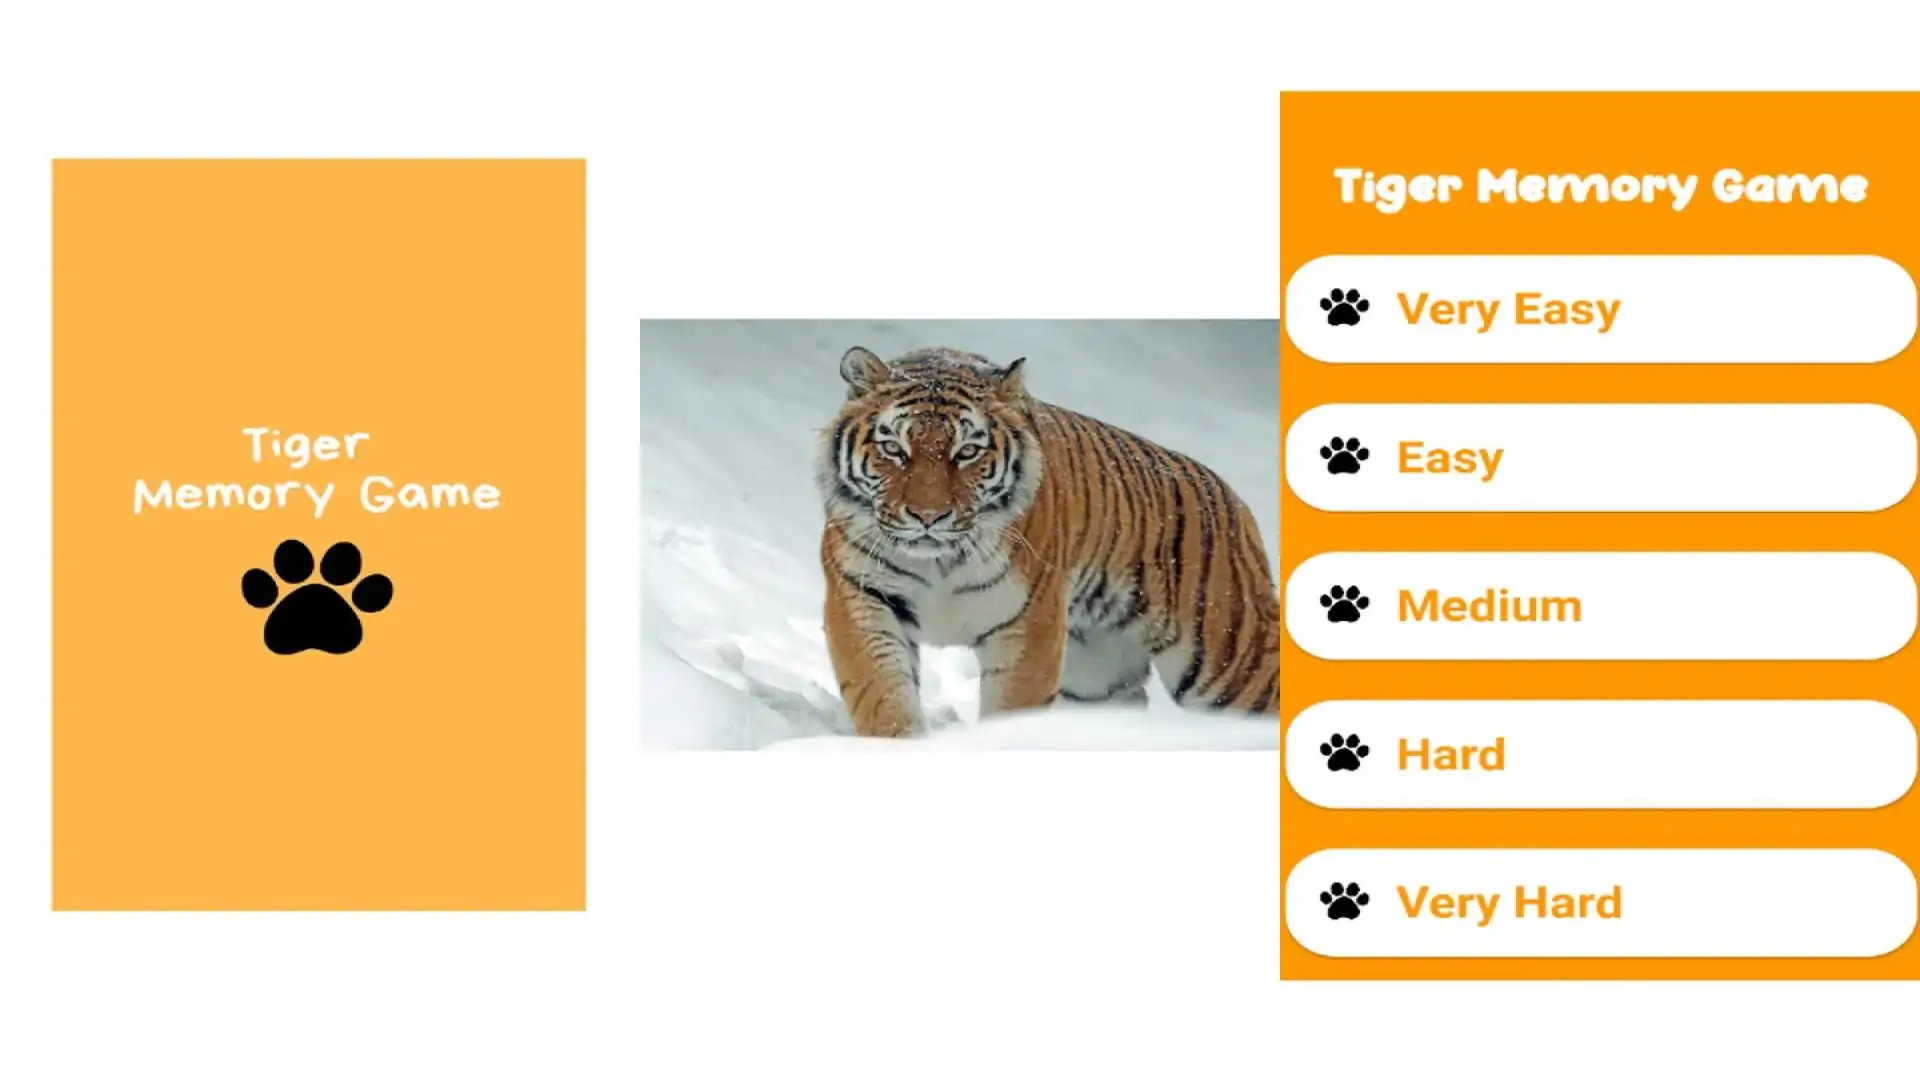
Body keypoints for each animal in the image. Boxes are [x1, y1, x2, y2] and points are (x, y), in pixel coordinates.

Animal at [815, 344, 1280, 737]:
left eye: (967, 453)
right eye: (894, 448)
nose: (928, 517)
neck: (939, 561)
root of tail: (1235, 502)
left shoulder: (1026, 622)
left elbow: (1013, 705)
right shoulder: (865, 598)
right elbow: (882, 694)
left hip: (1232, 663)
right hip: (1096, 678)